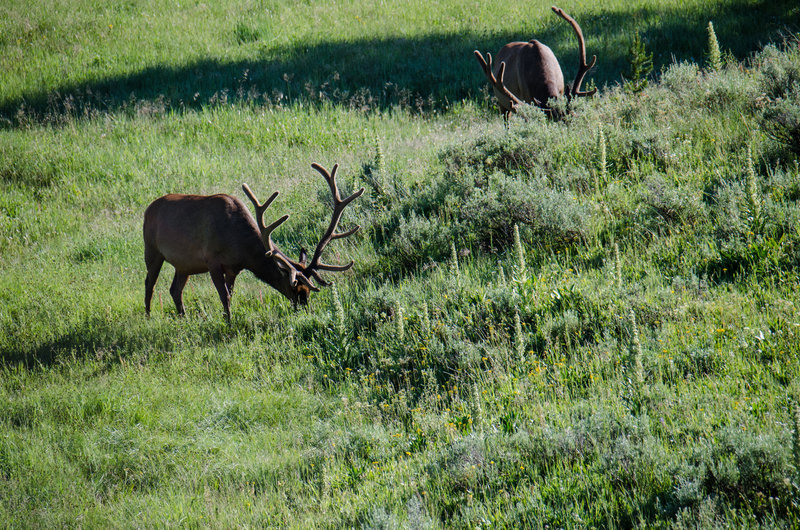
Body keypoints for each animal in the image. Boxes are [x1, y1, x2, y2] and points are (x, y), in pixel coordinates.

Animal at [145, 162, 366, 318]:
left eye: (309, 290)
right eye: (295, 287)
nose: (304, 310)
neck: (240, 247)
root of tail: (148, 208)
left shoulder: (233, 268)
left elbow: (229, 295)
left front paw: (227, 318)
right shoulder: (212, 260)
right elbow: (224, 297)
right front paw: (229, 323)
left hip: (184, 265)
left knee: (175, 290)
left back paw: (183, 317)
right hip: (152, 249)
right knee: (150, 283)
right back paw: (148, 317)